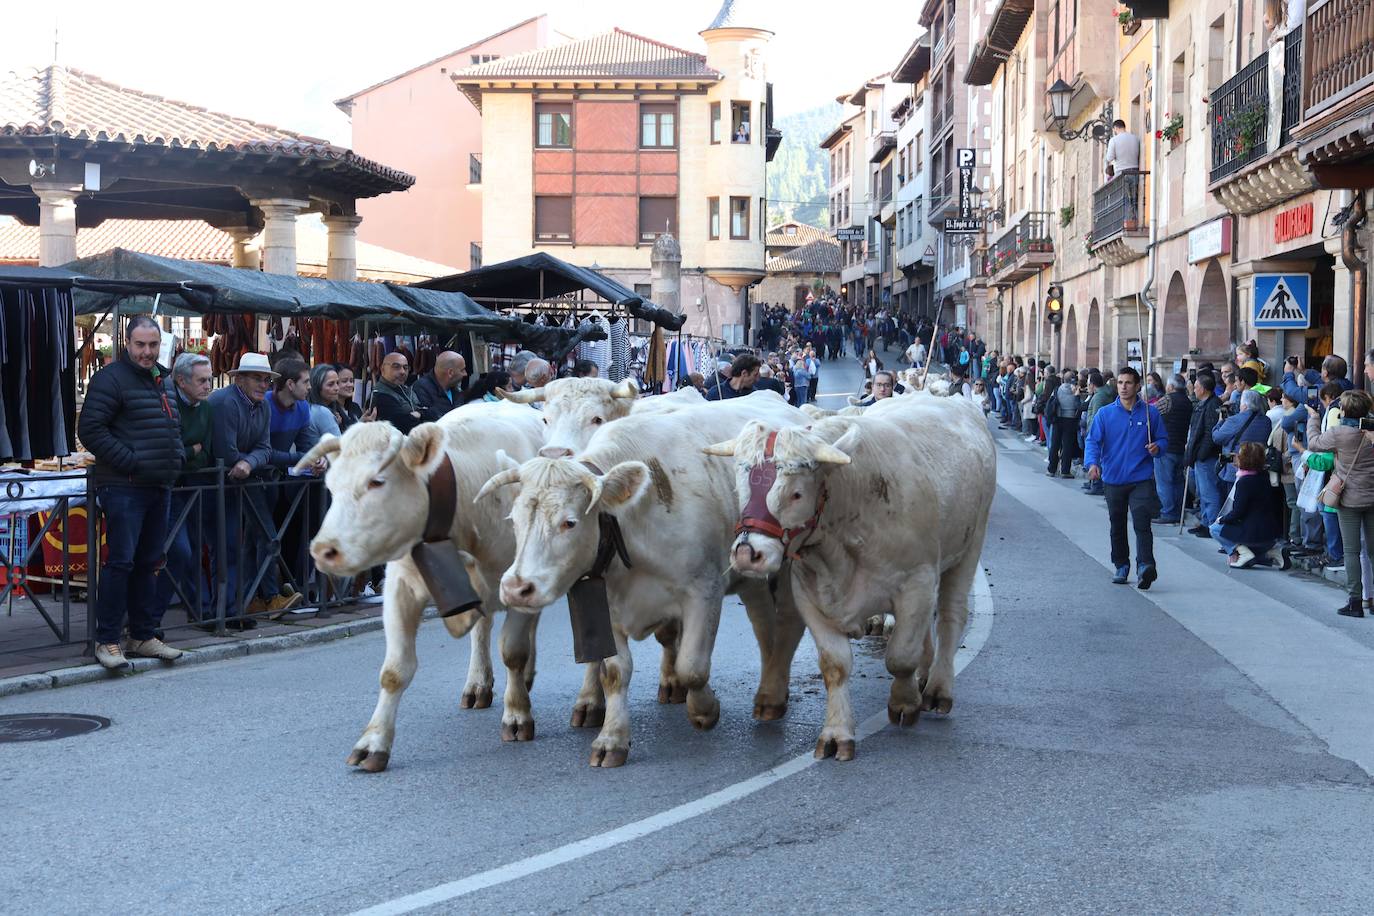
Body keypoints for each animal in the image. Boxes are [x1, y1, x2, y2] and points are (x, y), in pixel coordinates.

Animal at [302, 403, 546, 769]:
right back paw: (477, 684)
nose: (323, 550)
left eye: (376, 481)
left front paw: (517, 715)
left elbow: (513, 652)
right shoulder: (399, 589)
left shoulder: (521, 585)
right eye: (331, 486)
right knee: (482, 630)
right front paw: (373, 743)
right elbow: (394, 671)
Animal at [478, 392, 807, 769]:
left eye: (569, 522)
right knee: (765, 626)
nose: (516, 588)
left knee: (783, 627)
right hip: (750, 575)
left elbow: (693, 666)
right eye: (514, 519)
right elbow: (614, 672)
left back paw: (771, 696)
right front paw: (611, 738)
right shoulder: (608, 606)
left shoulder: (703, 591)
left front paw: (705, 709)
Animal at [703, 398, 994, 763]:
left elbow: (901, 656)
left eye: (796, 494)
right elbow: (835, 666)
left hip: (970, 546)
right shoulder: (810, 595)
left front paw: (905, 701)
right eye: (740, 486)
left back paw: (939, 688)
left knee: (951, 618)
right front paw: (837, 733)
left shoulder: (917, 583)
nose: (747, 553)